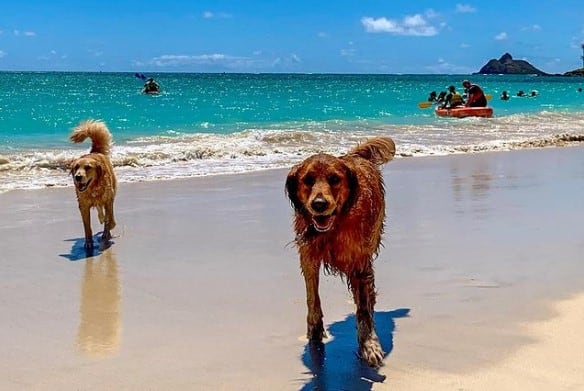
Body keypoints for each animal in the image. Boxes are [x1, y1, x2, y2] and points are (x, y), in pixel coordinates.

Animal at [69, 119, 117, 250]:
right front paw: (89, 242)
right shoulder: (83, 205)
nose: (77, 177)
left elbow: (110, 216)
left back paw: (106, 232)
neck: (93, 188)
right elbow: (87, 226)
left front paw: (110, 226)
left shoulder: (108, 199)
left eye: (88, 167)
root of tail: (95, 152)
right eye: (76, 167)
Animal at [284, 137, 394, 368]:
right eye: (308, 180)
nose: (319, 204)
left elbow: (363, 309)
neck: (334, 227)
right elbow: (312, 296)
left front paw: (369, 344)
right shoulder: (308, 255)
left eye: (335, 179)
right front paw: (314, 331)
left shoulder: (360, 262)